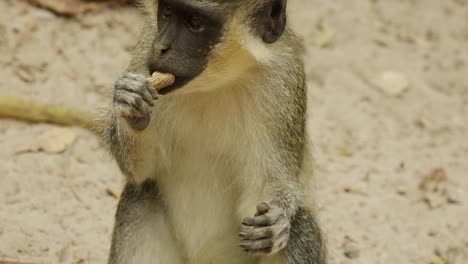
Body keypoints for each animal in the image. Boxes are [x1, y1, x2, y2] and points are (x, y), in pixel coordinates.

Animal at [102, 0, 328, 264]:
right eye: (167, 12)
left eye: (195, 22)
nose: (160, 48)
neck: (215, 82)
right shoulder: (144, 50)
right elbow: (141, 171)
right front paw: (132, 103)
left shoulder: (285, 78)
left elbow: (266, 186)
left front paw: (276, 222)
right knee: (141, 193)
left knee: (300, 226)